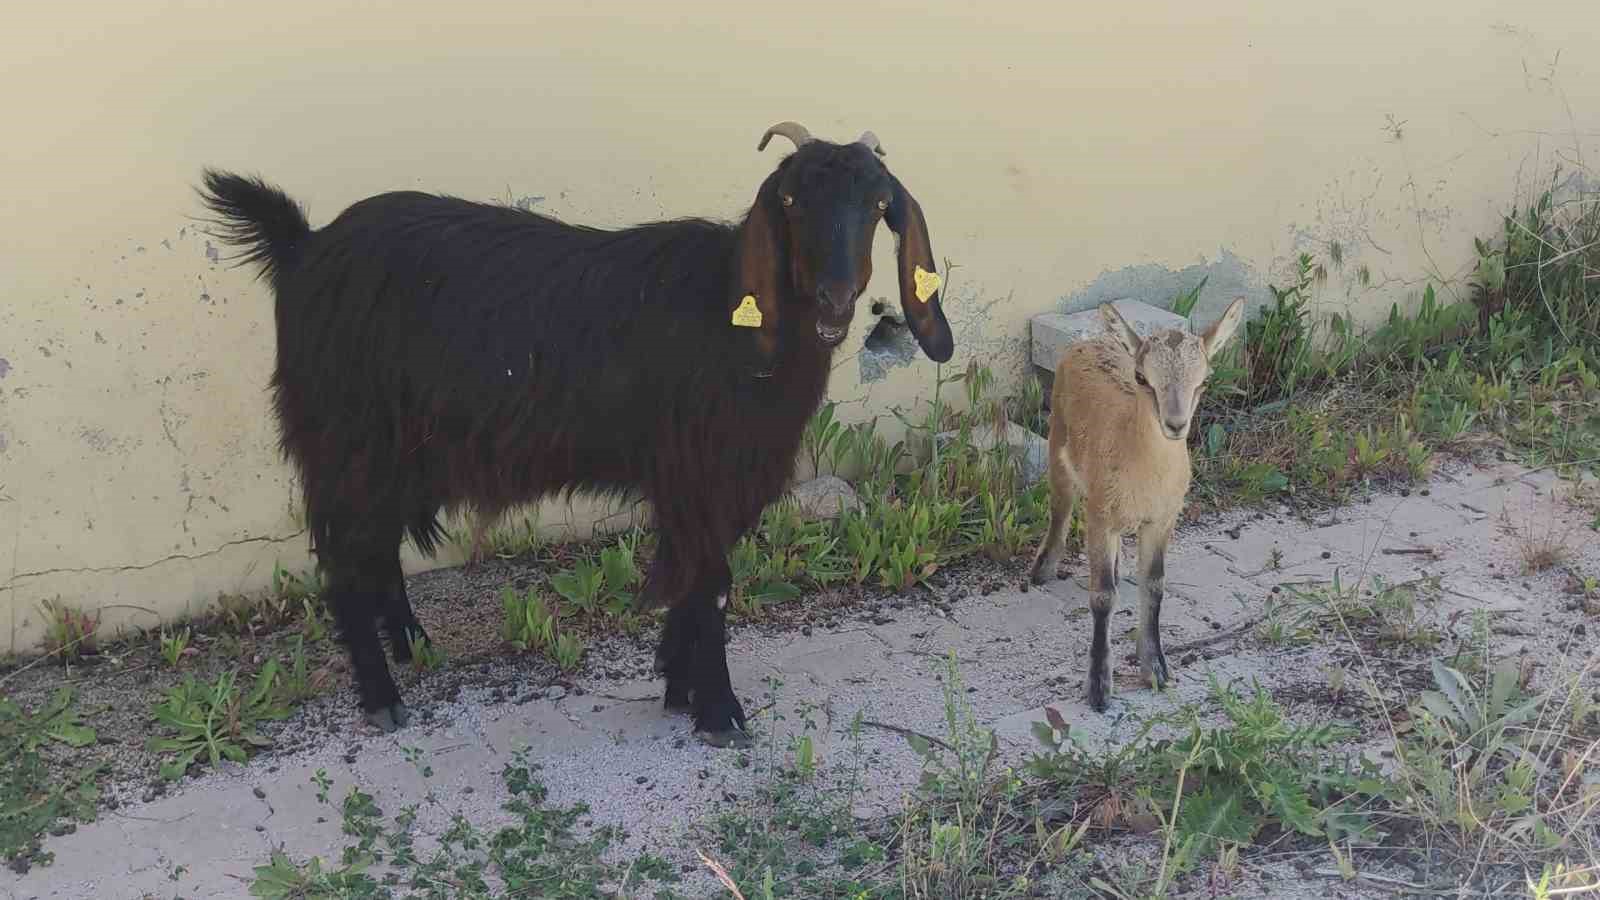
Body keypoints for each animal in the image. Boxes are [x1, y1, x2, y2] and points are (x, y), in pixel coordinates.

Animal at [196, 120, 947, 743]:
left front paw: (677, 683)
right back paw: (381, 697)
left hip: (392, 451)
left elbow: (690, 578)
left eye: (880, 208)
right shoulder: (698, 473)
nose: (835, 299)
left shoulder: (707, 482)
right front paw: (719, 712)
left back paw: (414, 645)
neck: (737, 318)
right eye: (790, 201)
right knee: (344, 563)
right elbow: (710, 583)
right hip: (345, 438)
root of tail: (304, 248)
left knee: (376, 549)